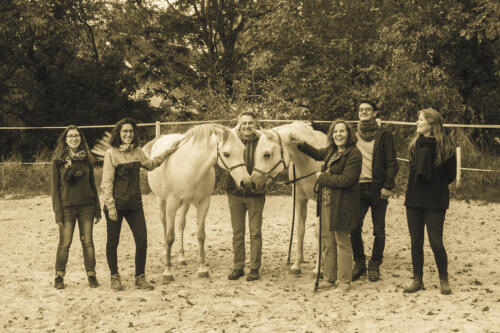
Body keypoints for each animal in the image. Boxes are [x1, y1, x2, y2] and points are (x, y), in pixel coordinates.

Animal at [146, 124, 252, 280]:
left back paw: (182, 257)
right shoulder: (171, 204)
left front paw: (202, 269)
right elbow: (170, 237)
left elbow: (201, 235)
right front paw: (167, 272)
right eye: (226, 154)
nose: (246, 182)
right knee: (164, 224)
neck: (191, 166)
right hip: (162, 201)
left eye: (243, 150)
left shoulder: (203, 204)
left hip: (185, 204)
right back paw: (166, 251)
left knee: (181, 225)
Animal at [250, 120, 328, 274]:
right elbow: (300, 230)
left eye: (267, 154)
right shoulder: (299, 199)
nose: (253, 183)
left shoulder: (320, 202)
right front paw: (296, 265)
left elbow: (319, 232)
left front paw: (318, 268)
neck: (309, 163)